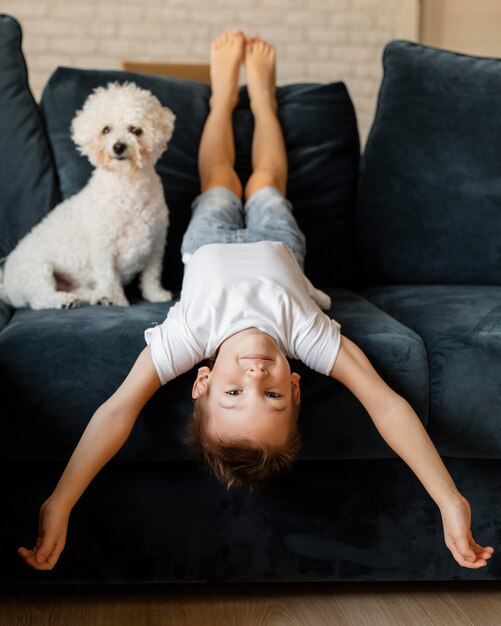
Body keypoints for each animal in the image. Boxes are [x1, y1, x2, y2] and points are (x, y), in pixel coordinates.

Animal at [0, 80, 176, 310]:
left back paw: (96, 296)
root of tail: (6, 287)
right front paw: (118, 301)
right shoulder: (103, 247)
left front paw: (155, 295)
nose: (118, 146)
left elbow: (151, 276)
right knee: (40, 299)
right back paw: (65, 300)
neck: (127, 185)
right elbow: (110, 278)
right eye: (106, 130)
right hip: (37, 272)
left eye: (135, 130)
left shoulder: (156, 244)